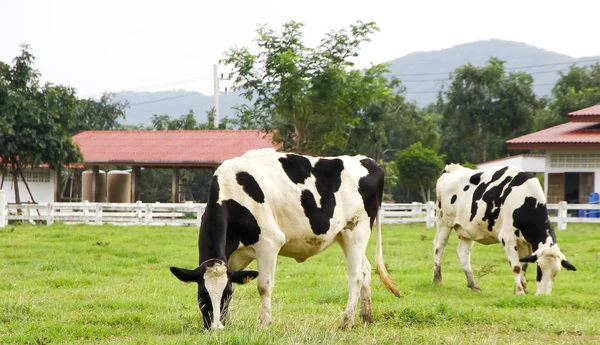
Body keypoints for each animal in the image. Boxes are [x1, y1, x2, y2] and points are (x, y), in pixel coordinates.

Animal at [171, 148, 400, 330]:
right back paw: (366, 318)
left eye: (223, 295)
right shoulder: (233, 257)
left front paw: (264, 324)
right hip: (343, 235)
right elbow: (236, 282)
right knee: (366, 270)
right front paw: (228, 321)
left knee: (356, 276)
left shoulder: (269, 243)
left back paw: (347, 321)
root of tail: (368, 161)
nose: (215, 328)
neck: (233, 194)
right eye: (202, 297)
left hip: (357, 231)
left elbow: (264, 286)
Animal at [434, 163, 576, 294]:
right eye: (539, 268)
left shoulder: (527, 243)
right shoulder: (507, 238)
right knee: (438, 248)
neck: (525, 200)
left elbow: (523, 265)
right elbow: (516, 267)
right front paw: (519, 292)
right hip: (444, 223)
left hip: (468, 230)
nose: (543, 295)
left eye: (556, 273)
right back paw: (437, 280)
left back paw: (473, 285)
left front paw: (523, 288)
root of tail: (453, 168)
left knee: (463, 253)